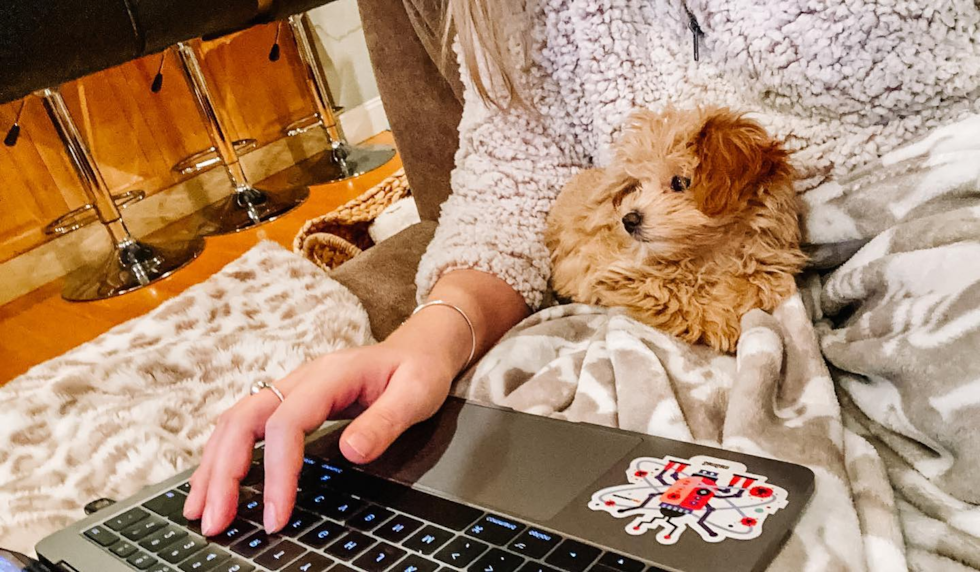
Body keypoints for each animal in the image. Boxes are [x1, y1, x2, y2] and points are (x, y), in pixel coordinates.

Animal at [544, 105, 804, 350]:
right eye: (635, 186)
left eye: (679, 182)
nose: (628, 220)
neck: (708, 253)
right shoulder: (618, 272)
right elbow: (670, 293)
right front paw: (717, 324)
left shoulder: (768, 267)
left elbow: (748, 286)